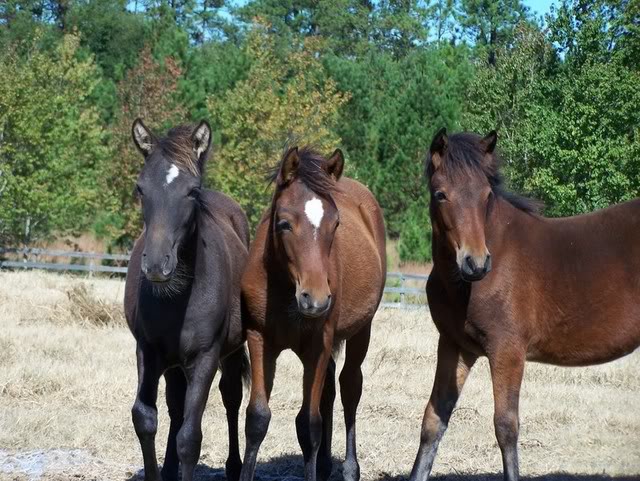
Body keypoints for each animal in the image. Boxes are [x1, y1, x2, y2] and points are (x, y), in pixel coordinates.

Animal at [124, 119, 249, 480]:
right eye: (140, 188)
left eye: (192, 191)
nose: (156, 264)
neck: (176, 298)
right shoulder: (147, 350)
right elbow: (145, 418)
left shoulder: (205, 357)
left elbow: (190, 438)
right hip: (173, 362)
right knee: (175, 405)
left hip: (229, 353)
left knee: (231, 398)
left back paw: (234, 467)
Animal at [239, 146, 384, 480]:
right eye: (284, 223)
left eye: (336, 224)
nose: (315, 300)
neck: (285, 289)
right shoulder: (259, 339)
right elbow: (257, 418)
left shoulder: (319, 343)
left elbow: (308, 425)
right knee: (329, 389)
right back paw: (326, 464)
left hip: (361, 331)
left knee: (349, 387)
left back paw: (349, 469)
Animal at [410, 126, 640, 480]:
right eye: (441, 195)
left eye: (486, 196)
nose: (476, 263)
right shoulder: (453, 344)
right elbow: (434, 420)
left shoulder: (507, 350)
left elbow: (506, 427)